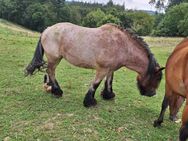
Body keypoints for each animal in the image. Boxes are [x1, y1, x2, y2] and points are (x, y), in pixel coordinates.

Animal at [24, 22, 163, 107]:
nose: (152, 94)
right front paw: (89, 101)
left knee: (49, 72)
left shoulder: (110, 69)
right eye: (157, 78)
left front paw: (108, 95)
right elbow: (95, 84)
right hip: (54, 59)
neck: (122, 45)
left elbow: (109, 82)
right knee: (51, 72)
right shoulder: (102, 69)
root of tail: (47, 30)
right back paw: (57, 91)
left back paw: (51, 88)